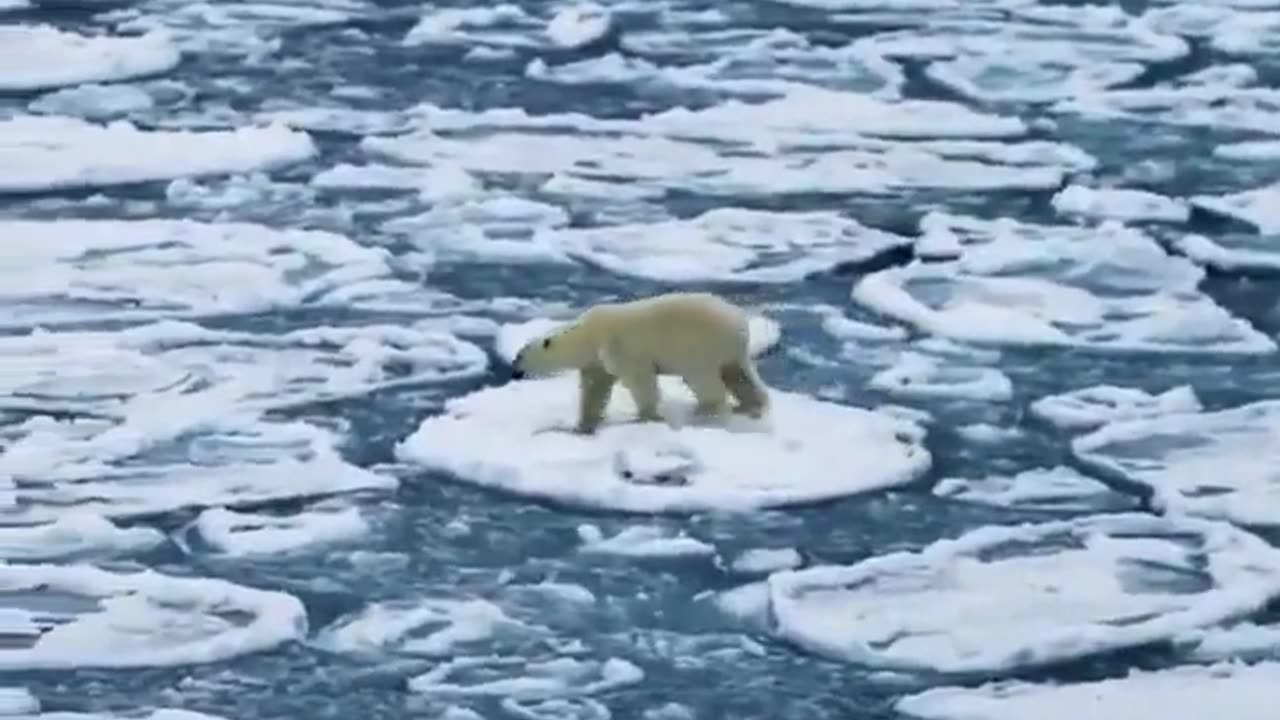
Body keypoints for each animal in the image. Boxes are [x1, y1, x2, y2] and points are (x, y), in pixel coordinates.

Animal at [509, 289, 768, 430]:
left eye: (519, 355)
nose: (514, 371)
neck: (587, 336)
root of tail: (739, 323)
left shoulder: (618, 347)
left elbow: (640, 379)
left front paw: (646, 416)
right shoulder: (596, 362)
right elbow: (594, 389)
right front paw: (583, 424)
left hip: (699, 345)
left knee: (703, 380)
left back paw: (706, 411)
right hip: (730, 351)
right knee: (739, 376)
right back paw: (751, 406)